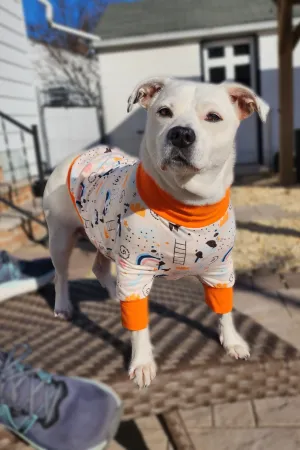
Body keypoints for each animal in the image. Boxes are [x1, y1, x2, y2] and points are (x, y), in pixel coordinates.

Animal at [42, 77, 270, 386]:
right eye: (164, 112)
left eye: (213, 117)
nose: (181, 134)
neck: (186, 206)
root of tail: (73, 156)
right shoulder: (135, 269)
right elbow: (139, 327)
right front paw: (142, 363)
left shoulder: (220, 270)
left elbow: (224, 309)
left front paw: (232, 341)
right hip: (61, 237)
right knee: (61, 275)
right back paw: (64, 305)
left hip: (103, 234)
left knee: (99, 266)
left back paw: (115, 294)